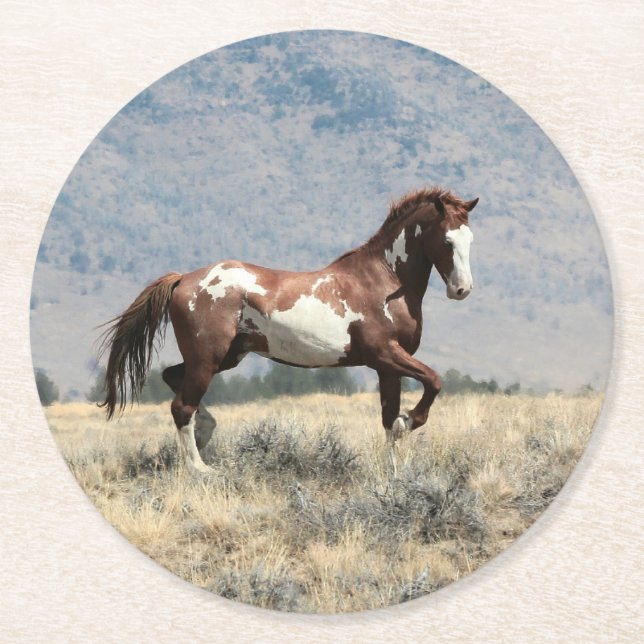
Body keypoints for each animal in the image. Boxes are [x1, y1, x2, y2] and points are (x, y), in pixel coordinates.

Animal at [98, 187, 478, 473]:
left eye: (470, 239)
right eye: (447, 241)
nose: (461, 290)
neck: (383, 282)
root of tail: (184, 279)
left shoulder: (388, 367)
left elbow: (388, 419)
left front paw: (393, 474)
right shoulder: (384, 354)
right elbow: (433, 382)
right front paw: (408, 421)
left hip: (226, 356)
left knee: (174, 380)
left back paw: (206, 434)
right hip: (208, 358)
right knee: (181, 406)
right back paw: (201, 469)